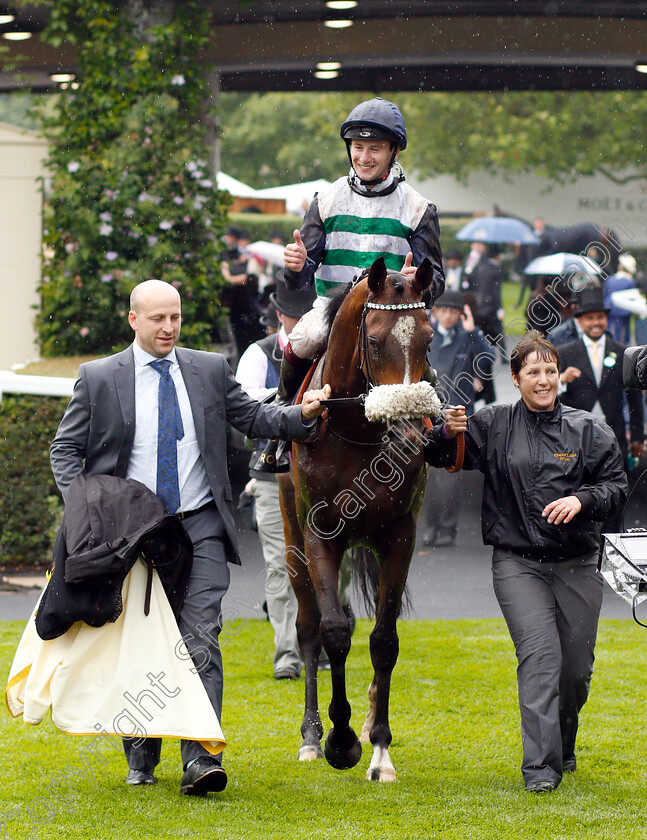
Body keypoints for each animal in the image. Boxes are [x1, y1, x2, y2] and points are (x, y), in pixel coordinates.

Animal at [278, 254, 440, 780]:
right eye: (373, 341)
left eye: (428, 340)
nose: (410, 433)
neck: (356, 433)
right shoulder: (318, 533)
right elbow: (332, 630)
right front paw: (340, 740)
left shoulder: (400, 536)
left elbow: (383, 639)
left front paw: (379, 748)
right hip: (291, 535)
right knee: (309, 626)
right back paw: (312, 737)